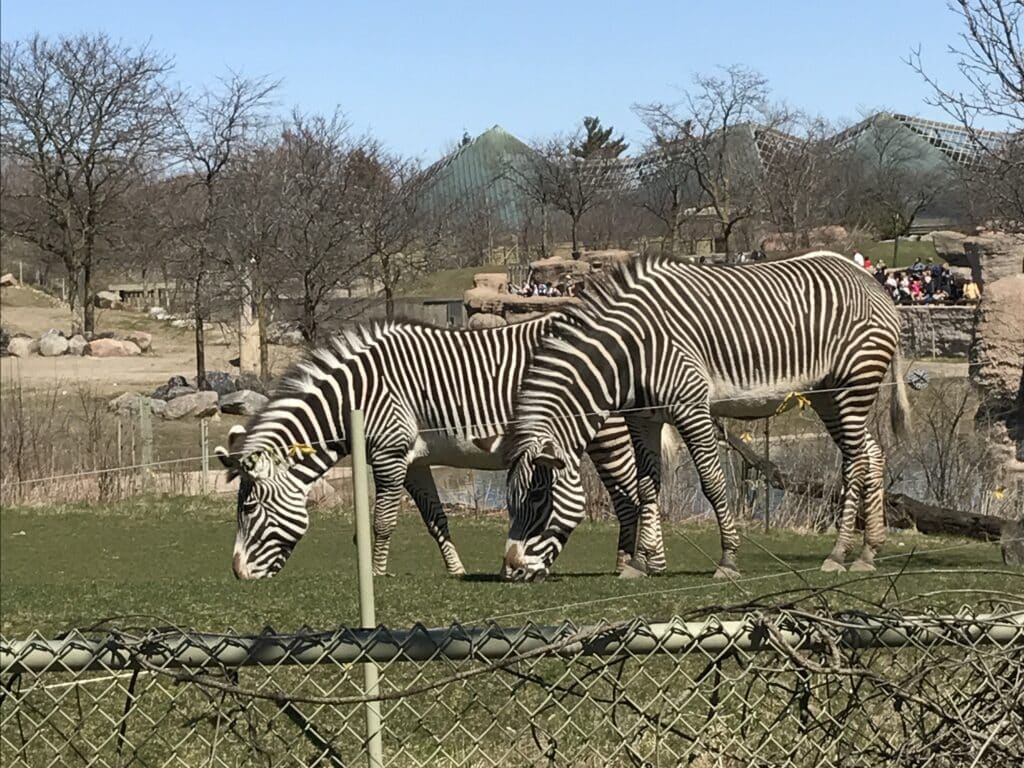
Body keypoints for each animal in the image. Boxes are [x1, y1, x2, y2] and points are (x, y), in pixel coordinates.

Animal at [211, 315, 671, 581]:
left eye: (248, 510)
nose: (238, 574)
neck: (354, 397)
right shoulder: (414, 460)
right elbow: (436, 519)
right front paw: (456, 569)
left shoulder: (388, 453)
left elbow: (382, 521)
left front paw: (375, 574)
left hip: (606, 434)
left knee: (630, 496)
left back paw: (632, 565)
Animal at [503, 252, 913, 581]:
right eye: (511, 500)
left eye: (538, 497)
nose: (512, 568)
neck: (630, 353)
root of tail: (871, 282)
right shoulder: (643, 419)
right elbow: (646, 486)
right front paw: (640, 565)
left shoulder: (692, 407)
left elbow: (713, 483)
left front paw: (728, 559)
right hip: (828, 397)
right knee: (872, 454)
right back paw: (868, 552)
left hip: (852, 387)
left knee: (855, 464)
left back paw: (838, 554)